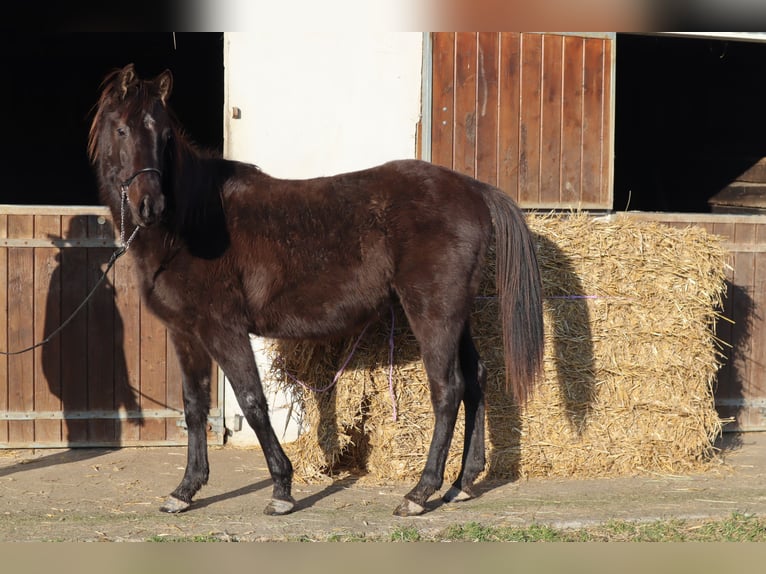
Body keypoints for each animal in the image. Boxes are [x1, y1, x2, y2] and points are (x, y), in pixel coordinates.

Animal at [88, 63, 544, 516]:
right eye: (122, 129)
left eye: (166, 136)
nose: (149, 206)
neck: (192, 223)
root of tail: (475, 190)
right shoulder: (186, 333)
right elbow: (195, 407)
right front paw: (185, 490)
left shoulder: (224, 329)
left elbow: (252, 401)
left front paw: (281, 490)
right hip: (455, 315)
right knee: (476, 379)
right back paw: (462, 484)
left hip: (434, 313)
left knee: (448, 390)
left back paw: (419, 493)